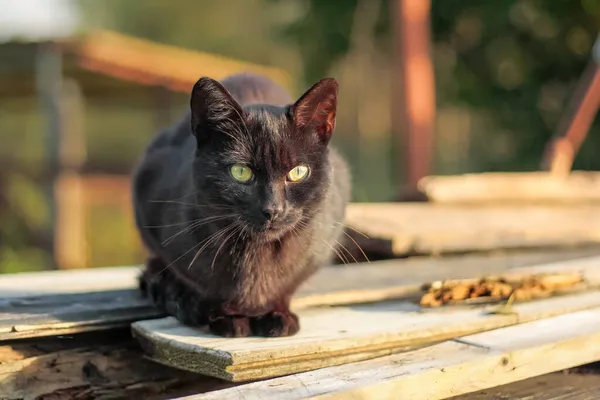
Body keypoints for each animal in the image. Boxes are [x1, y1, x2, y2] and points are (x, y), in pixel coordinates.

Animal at [131, 72, 346, 338]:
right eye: (241, 172)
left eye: (298, 172)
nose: (273, 209)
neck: (255, 254)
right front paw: (228, 318)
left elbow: (288, 286)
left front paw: (278, 314)